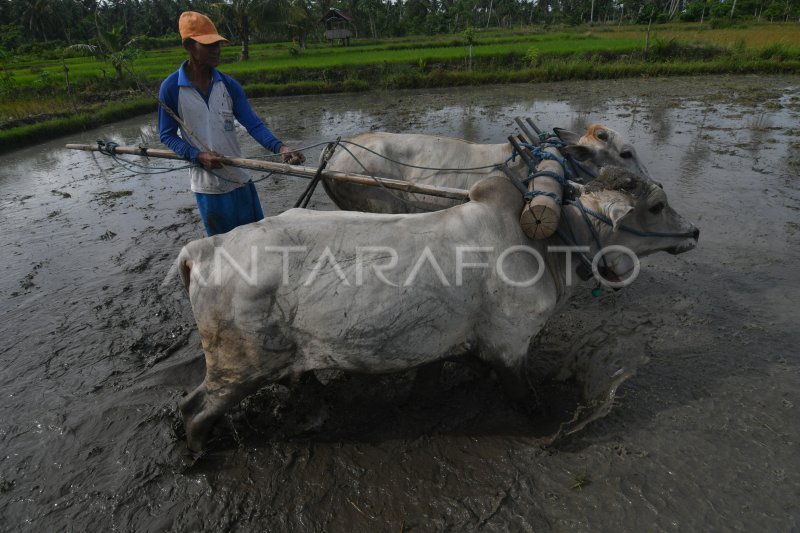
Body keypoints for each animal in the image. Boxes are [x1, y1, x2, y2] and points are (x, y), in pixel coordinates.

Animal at [178, 167, 696, 448]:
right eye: (656, 205)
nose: (693, 231)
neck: (547, 246)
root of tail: (204, 249)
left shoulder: (447, 342)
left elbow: (429, 377)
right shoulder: (509, 345)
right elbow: (526, 398)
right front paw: (547, 424)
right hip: (237, 367)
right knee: (194, 410)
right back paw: (201, 451)